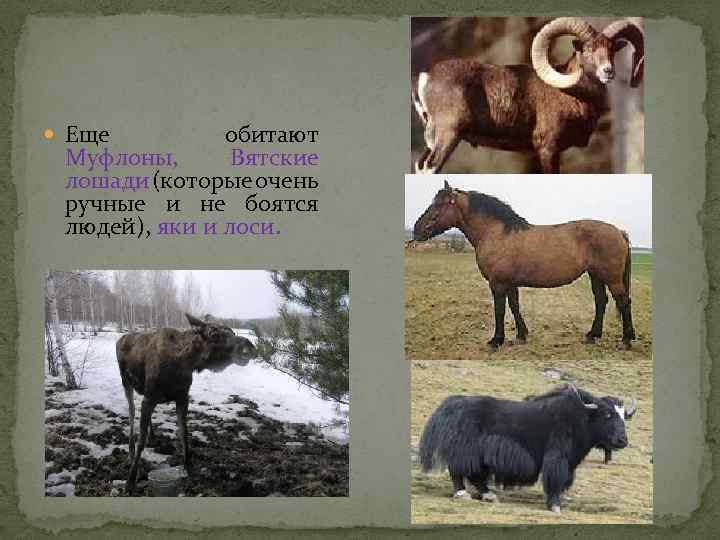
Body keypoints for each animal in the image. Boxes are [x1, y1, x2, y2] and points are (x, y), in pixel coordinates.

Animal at [412, 180, 635, 349]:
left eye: (439, 205)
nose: (416, 229)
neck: (497, 233)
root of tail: (619, 232)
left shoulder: (498, 283)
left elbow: (500, 310)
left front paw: (496, 340)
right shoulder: (510, 283)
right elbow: (514, 306)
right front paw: (521, 335)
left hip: (612, 278)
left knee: (623, 302)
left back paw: (626, 339)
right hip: (595, 275)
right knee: (601, 301)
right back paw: (592, 335)